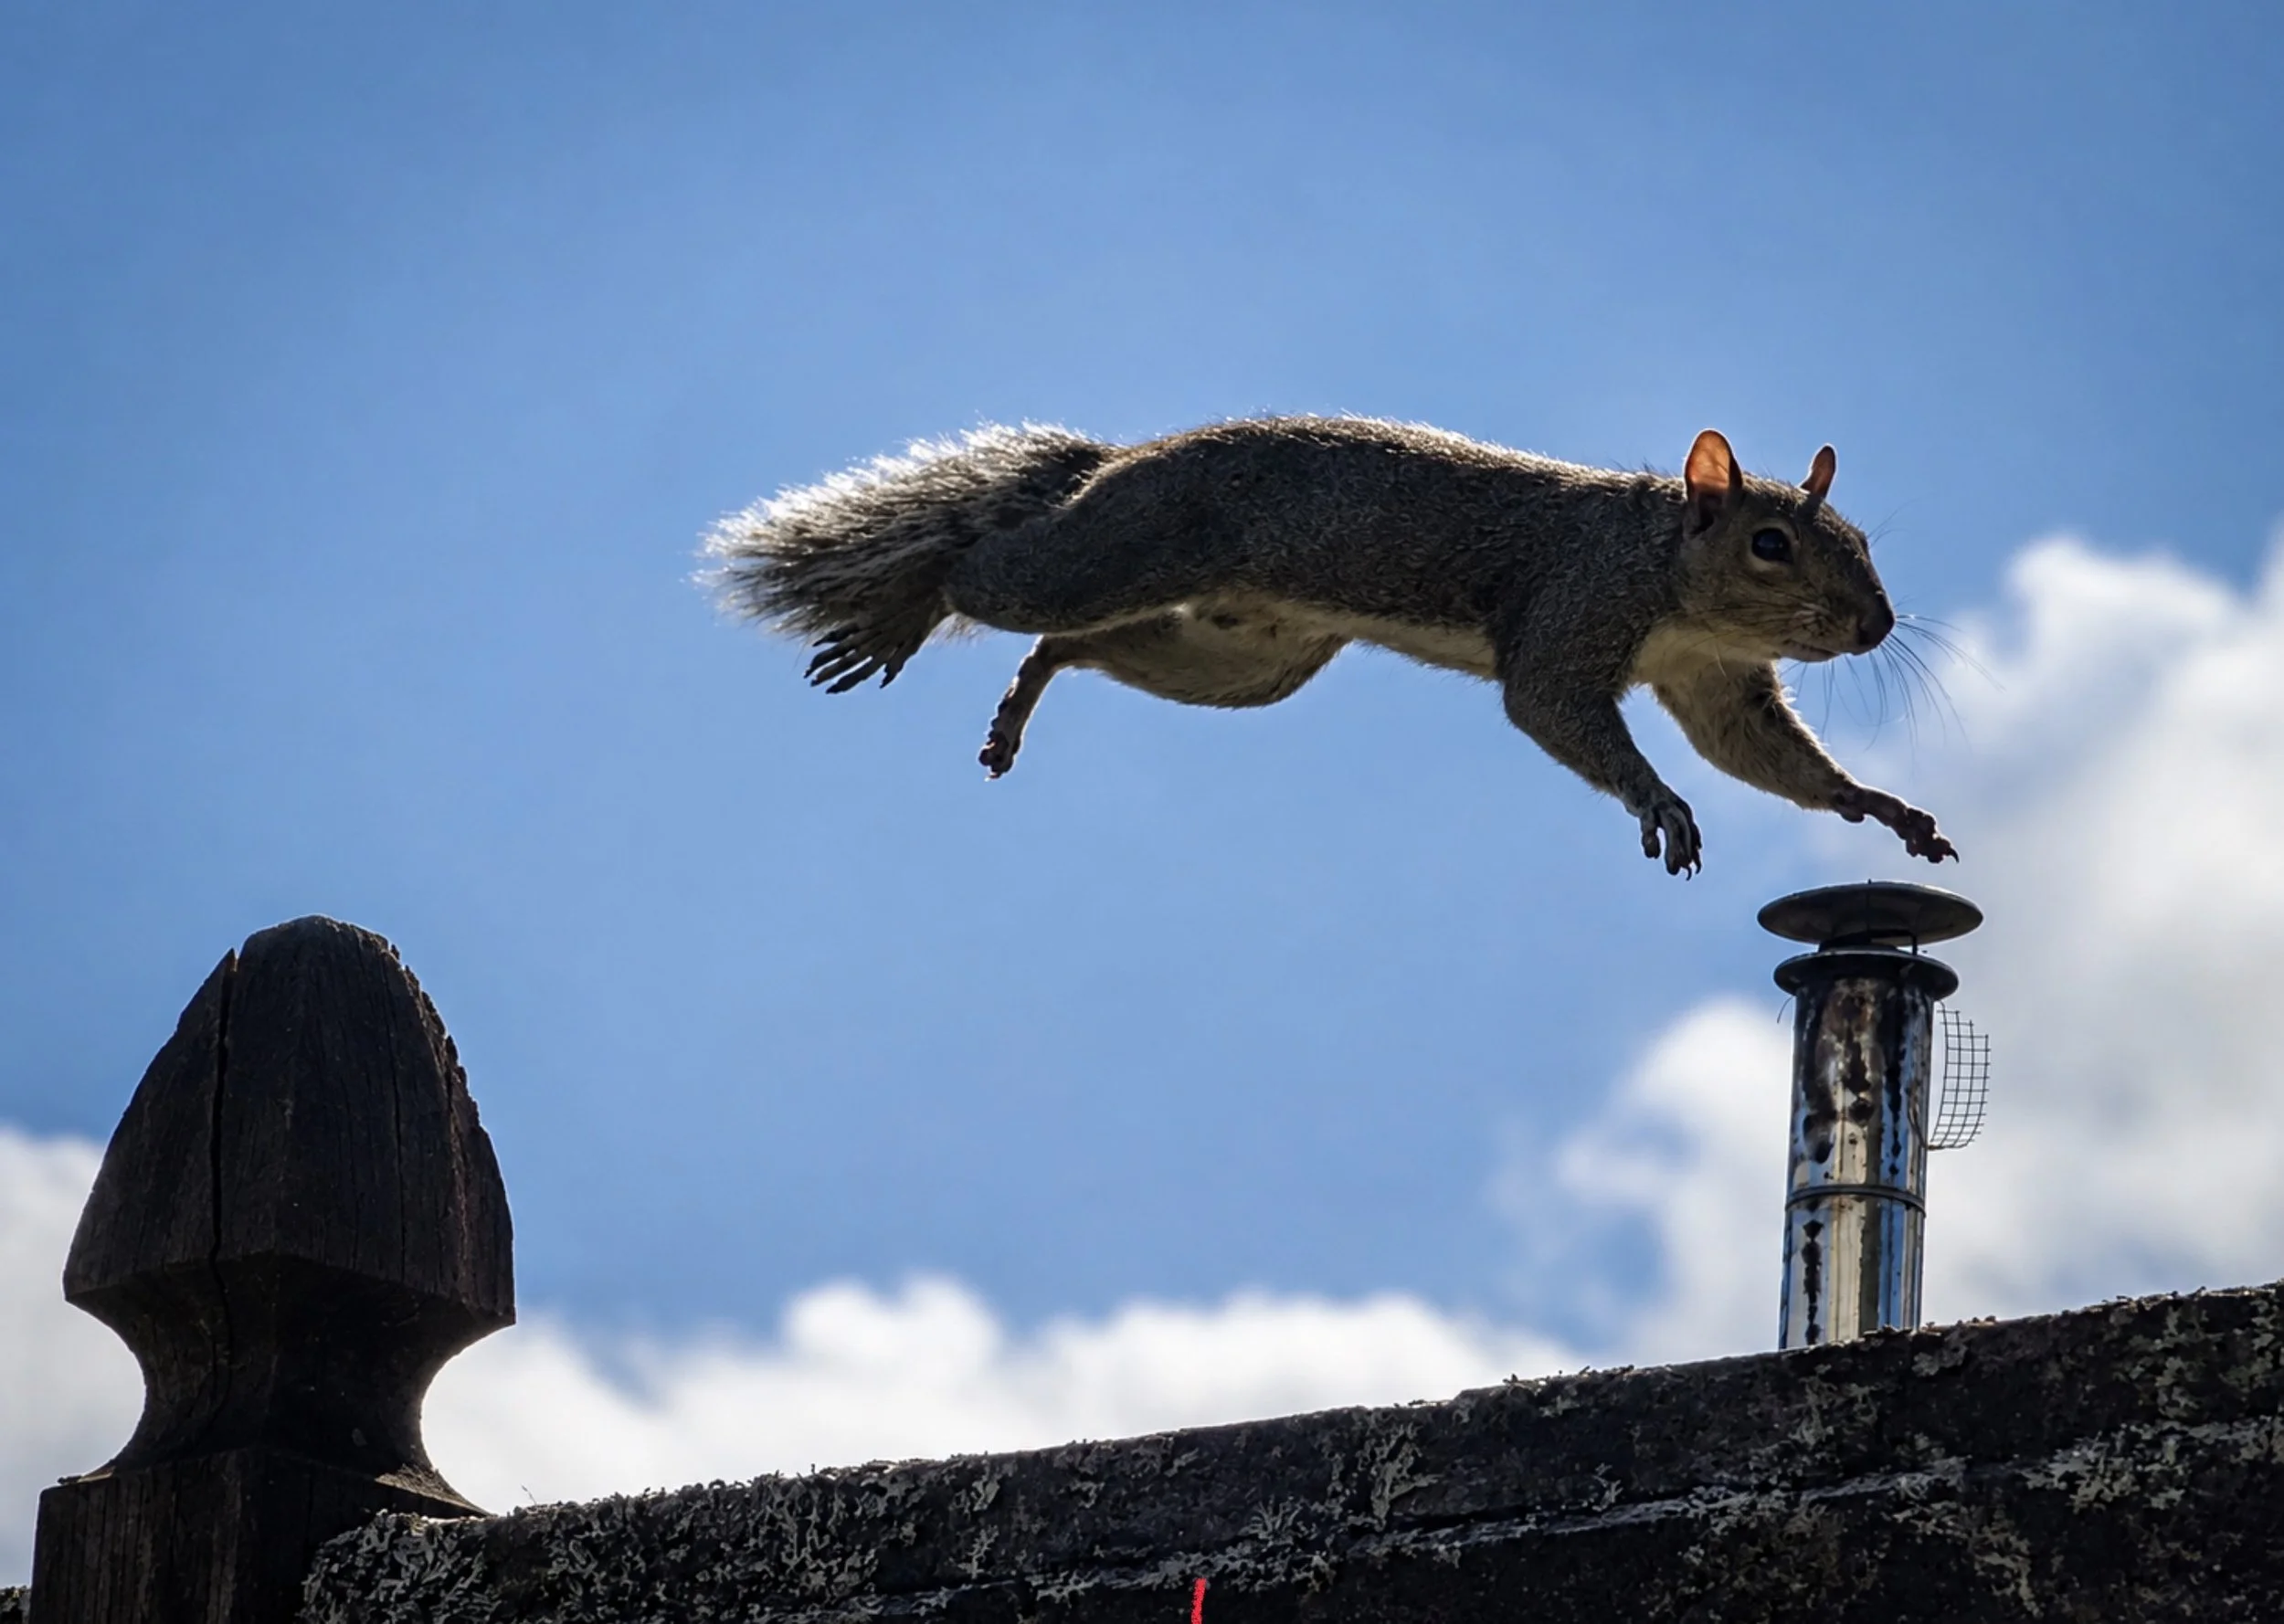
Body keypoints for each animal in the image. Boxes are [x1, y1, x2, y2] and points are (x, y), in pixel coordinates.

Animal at [705, 416, 1955, 875]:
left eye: (1855, 537)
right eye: (1769, 543)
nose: (1876, 624)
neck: (1667, 574)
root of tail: (1115, 462)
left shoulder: (1714, 681)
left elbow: (1769, 757)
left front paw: (1878, 806)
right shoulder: (1571, 613)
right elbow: (1552, 706)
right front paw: (1657, 802)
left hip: (1247, 662)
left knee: (1069, 641)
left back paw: (1019, 701)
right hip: (1119, 553)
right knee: (989, 572)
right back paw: (905, 611)